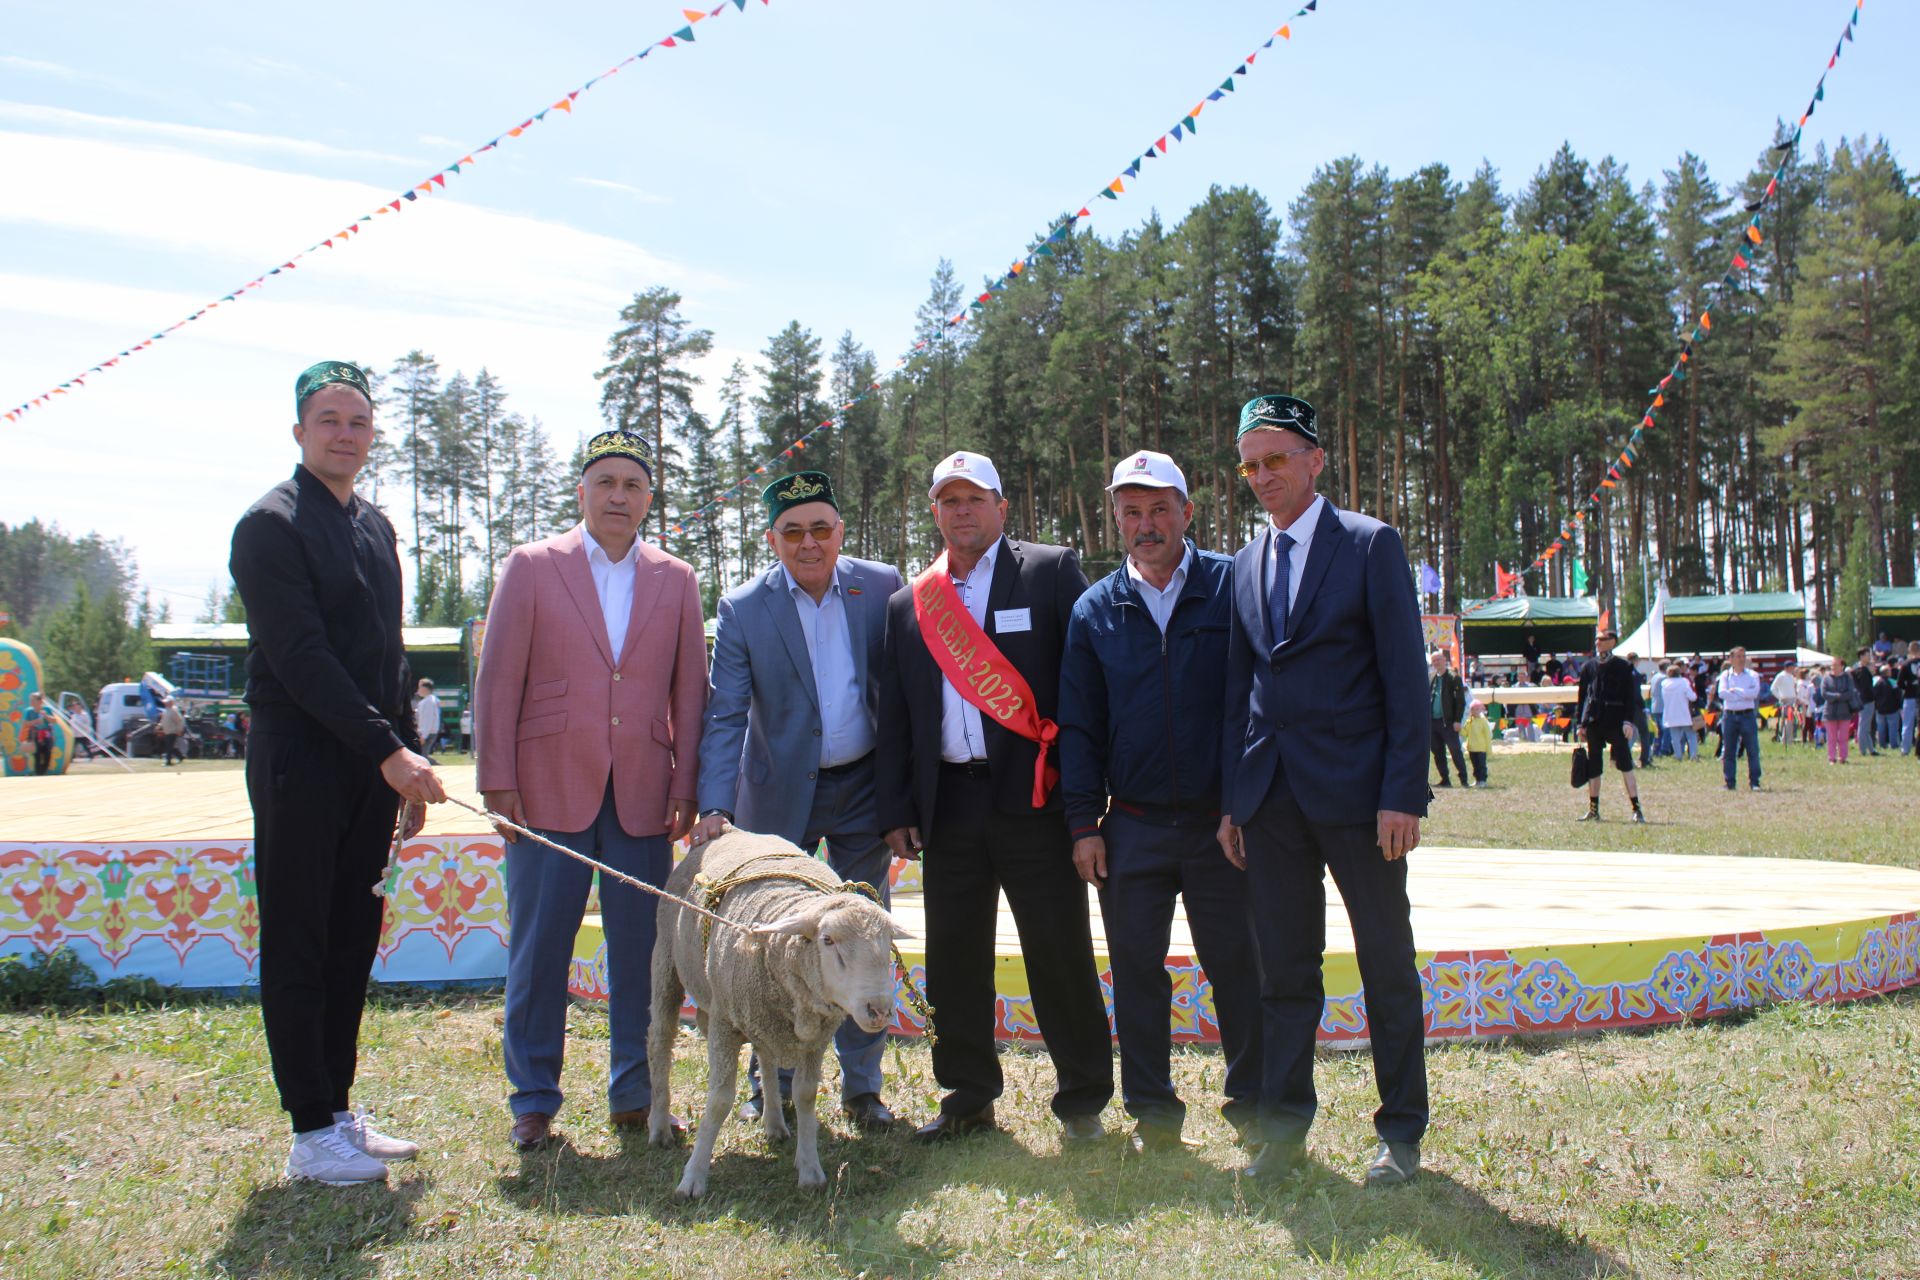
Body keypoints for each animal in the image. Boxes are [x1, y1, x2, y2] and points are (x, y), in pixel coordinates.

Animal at [648, 832, 910, 1205]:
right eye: (827, 940)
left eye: (887, 944)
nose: (879, 1010)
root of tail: (726, 831)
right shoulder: (725, 1025)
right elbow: (719, 1100)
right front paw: (693, 1177)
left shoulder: (815, 1038)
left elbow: (805, 1095)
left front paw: (810, 1169)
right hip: (667, 964)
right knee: (660, 1043)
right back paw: (659, 1126)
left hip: (761, 1013)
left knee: (766, 1057)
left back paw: (774, 1122)